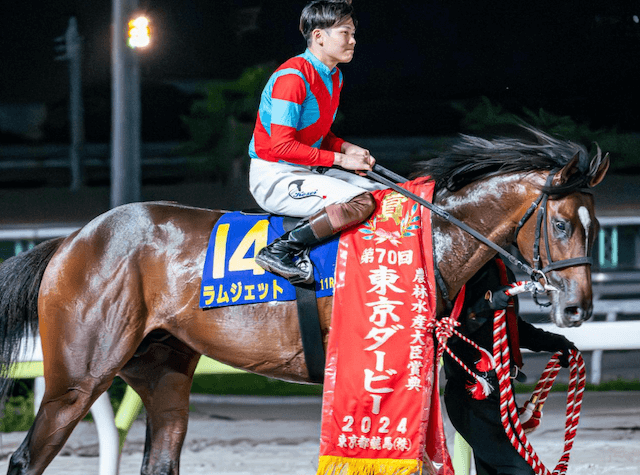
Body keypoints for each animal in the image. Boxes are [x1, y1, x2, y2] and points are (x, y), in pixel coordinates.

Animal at [0, 127, 608, 475]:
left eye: (595, 225)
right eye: (560, 224)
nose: (577, 309)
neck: (425, 238)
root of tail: (73, 239)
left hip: (163, 370)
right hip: (78, 376)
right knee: (27, 458)